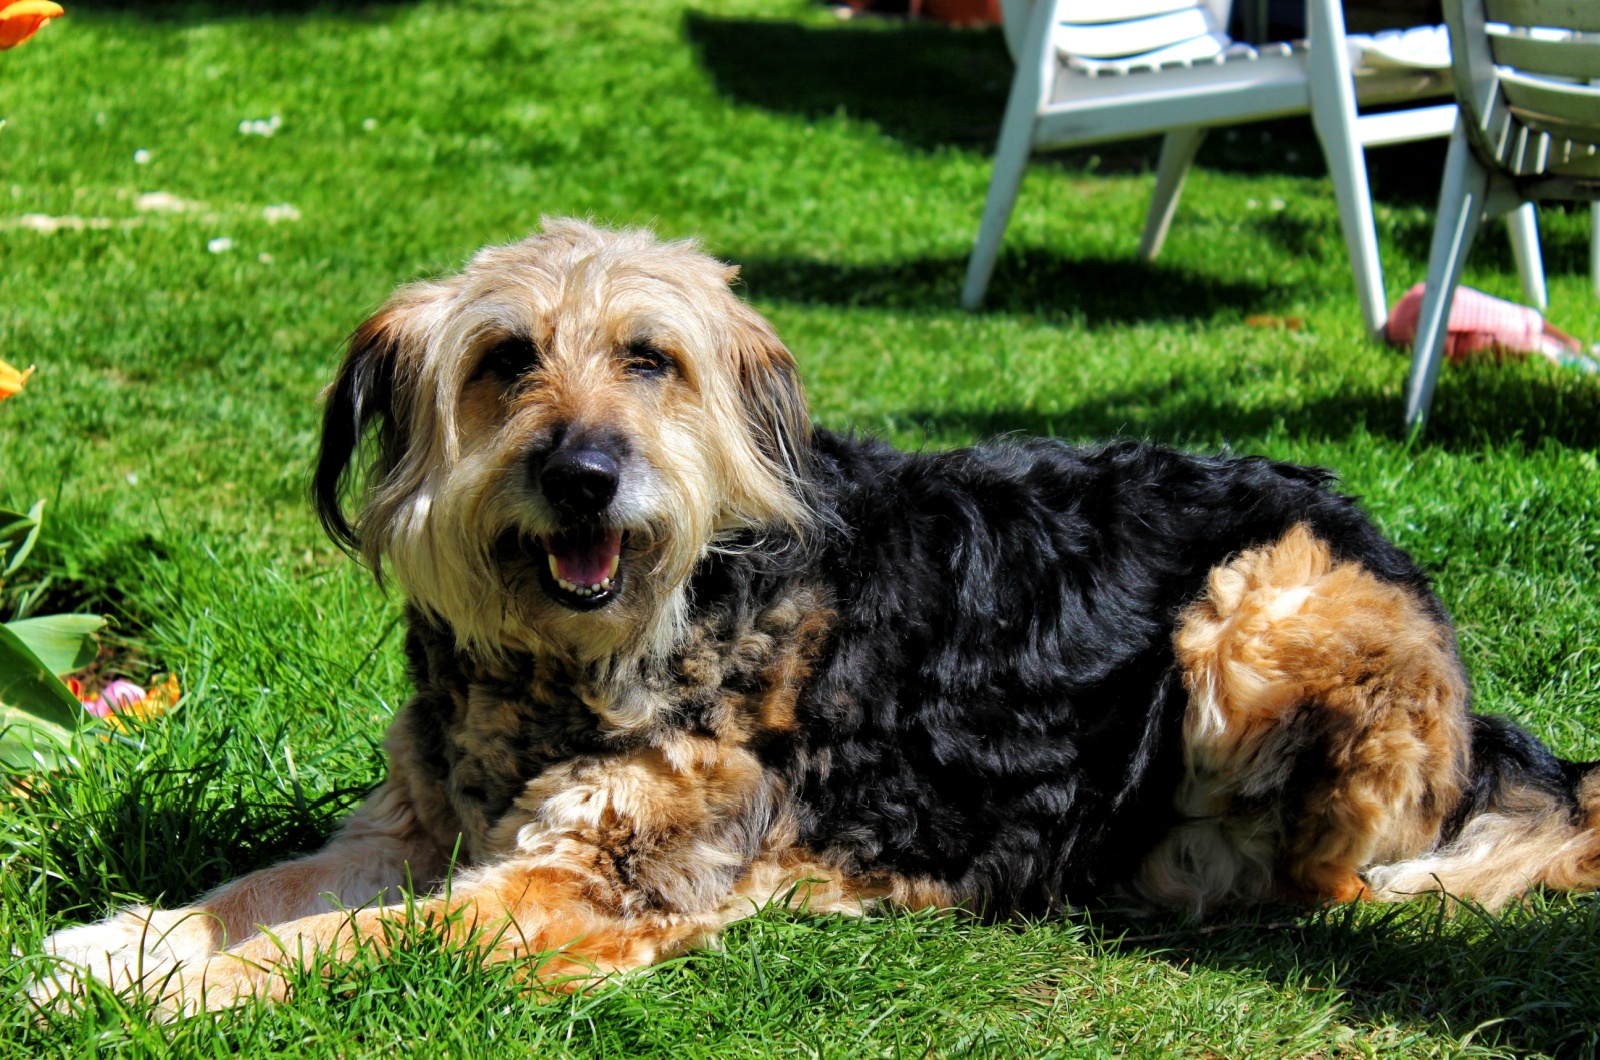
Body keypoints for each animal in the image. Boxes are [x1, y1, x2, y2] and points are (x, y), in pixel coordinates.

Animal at [34, 219, 1600, 1011]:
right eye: (504, 359)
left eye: (650, 359)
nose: (584, 473)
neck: (568, 665)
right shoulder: (409, 827)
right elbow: (257, 891)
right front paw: (127, 945)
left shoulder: (586, 883)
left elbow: (342, 943)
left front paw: (178, 993)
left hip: (1260, 605)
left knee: (1335, 878)